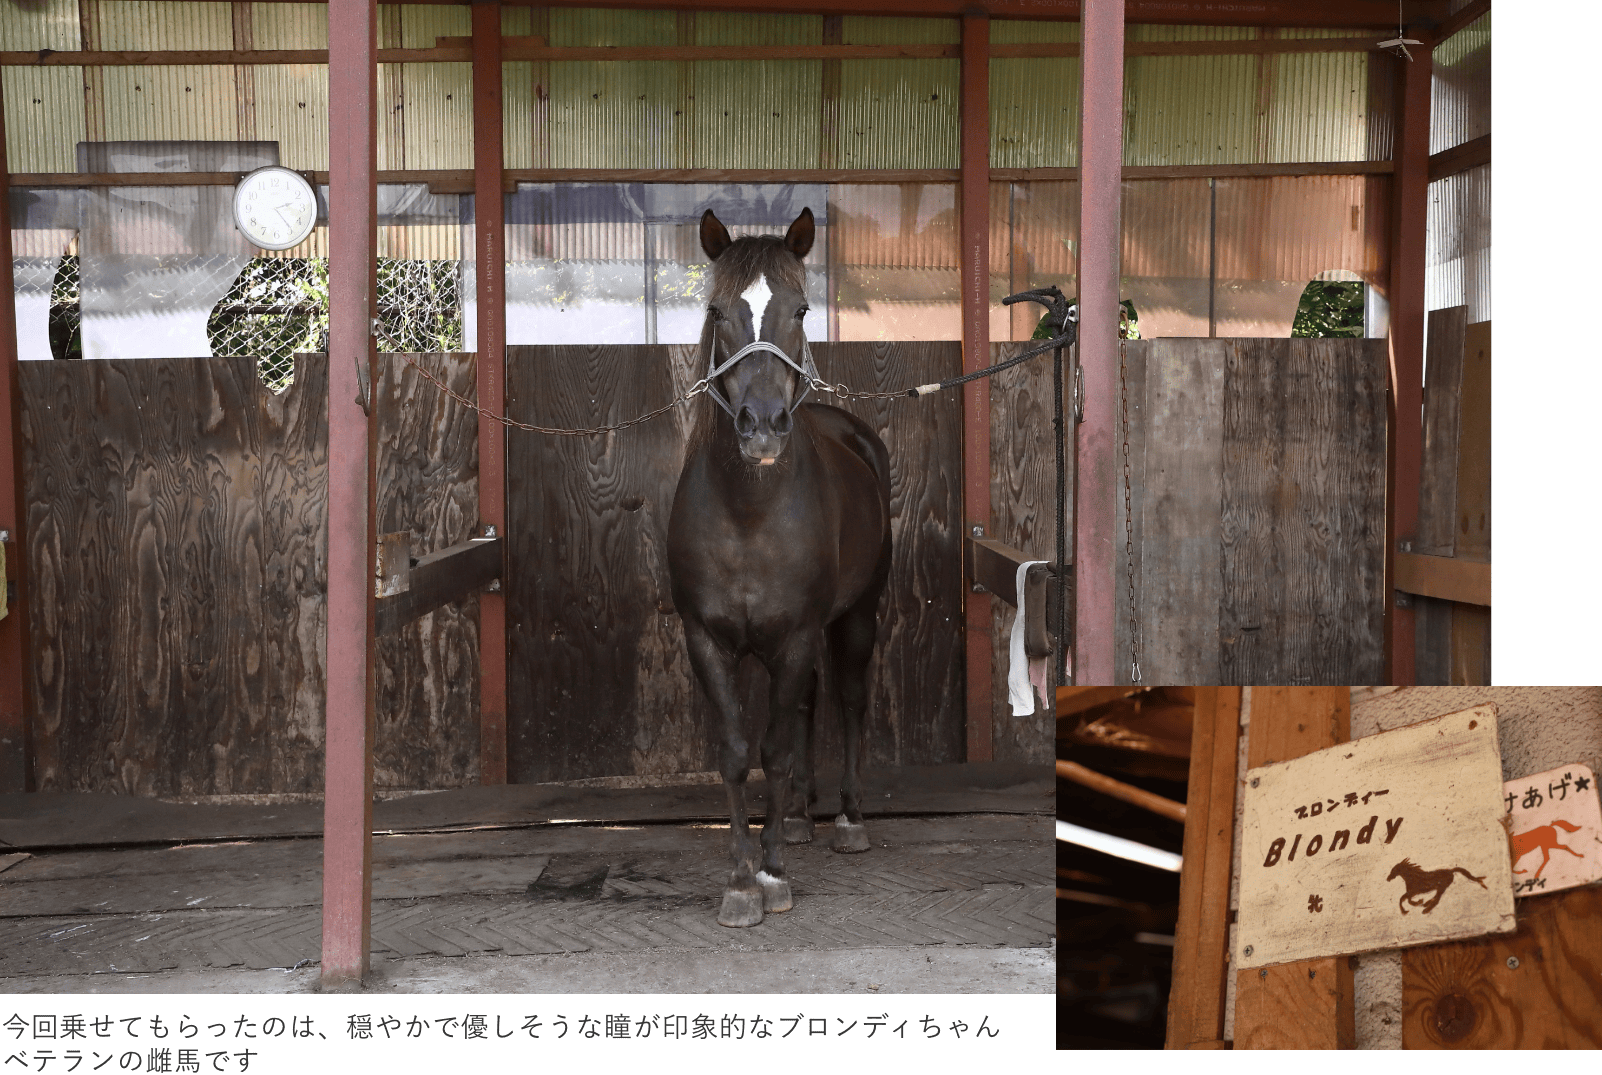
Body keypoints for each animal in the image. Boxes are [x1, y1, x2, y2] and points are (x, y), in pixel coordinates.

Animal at [663, 206, 890, 929]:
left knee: (847, 699)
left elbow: (777, 750)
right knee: (812, 703)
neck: (749, 515)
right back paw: (797, 819)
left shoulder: (793, 638)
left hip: (855, 617)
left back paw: (846, 819)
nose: (762, 425)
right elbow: (741, 754)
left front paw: (773, 873)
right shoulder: (706, 641)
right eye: (717, 309)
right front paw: (741, 879)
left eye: (801, 308)